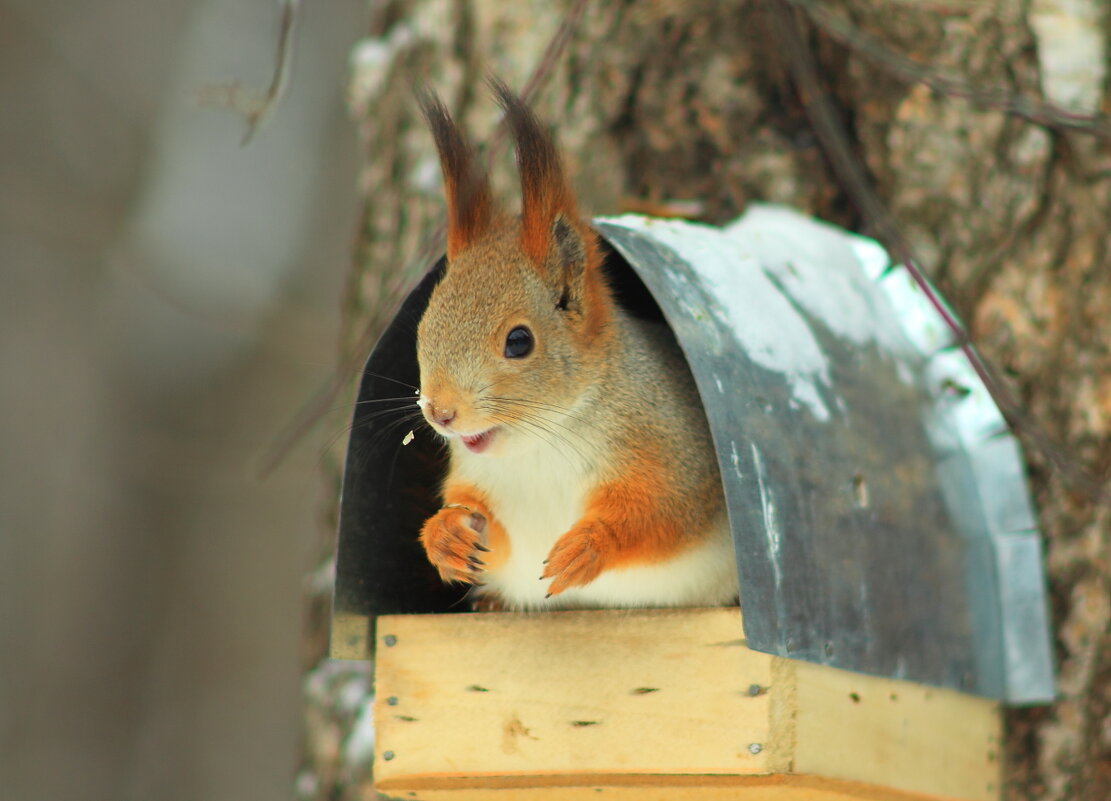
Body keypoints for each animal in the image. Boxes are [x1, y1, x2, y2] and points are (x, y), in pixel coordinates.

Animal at [413, 81, 733, 604]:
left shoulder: (679, 455)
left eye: (519, 341)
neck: (540, 447)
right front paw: (447, 535)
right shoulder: (485, 487)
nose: (441, 412)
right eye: (422, 329)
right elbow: (489, 534)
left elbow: (664, 513)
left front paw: (590, 546)